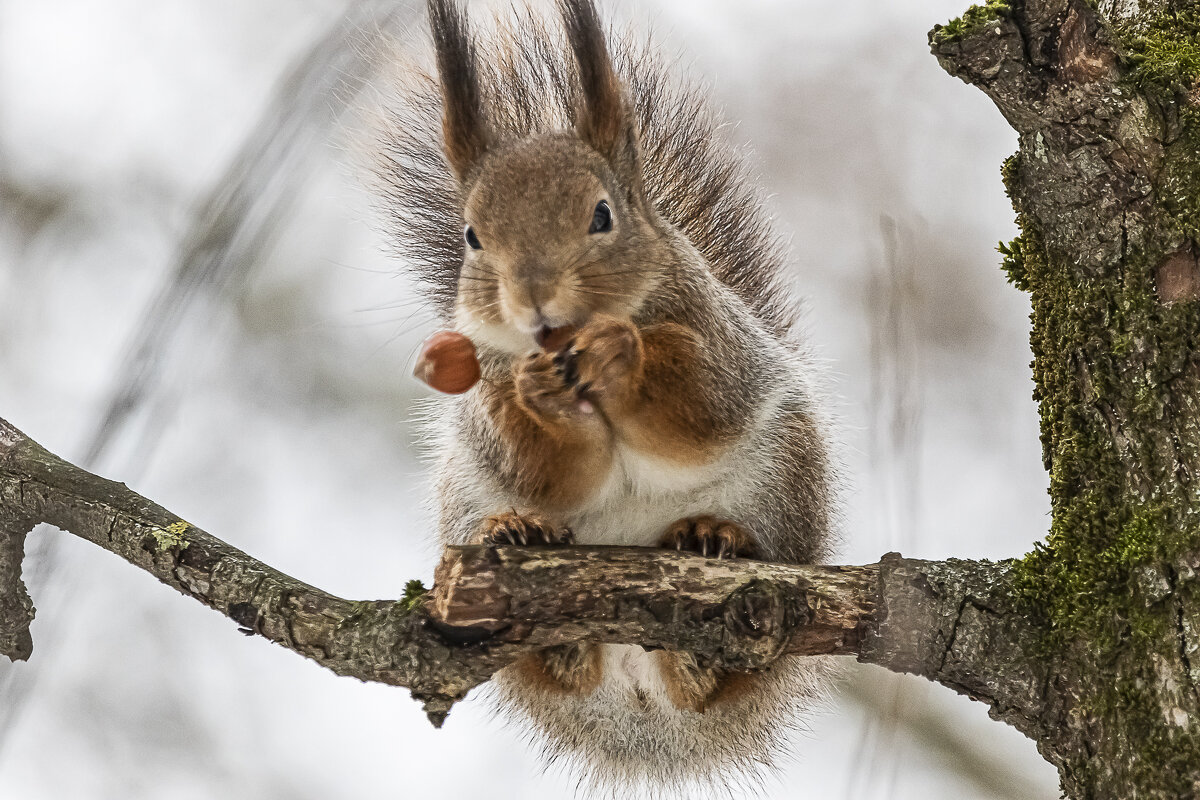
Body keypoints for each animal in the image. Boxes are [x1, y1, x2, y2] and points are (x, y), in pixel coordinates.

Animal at [372, 0, 835, 791]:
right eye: (471, 236)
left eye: (601, 215)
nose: (536, 301)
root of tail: (639, 702)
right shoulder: (488, 383)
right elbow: (548, 467)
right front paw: (541, 401)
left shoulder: (722, 347)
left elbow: (699, 411)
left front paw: (625, 353)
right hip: (466, 498)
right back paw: (522, 546)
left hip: (786, 480)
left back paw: (712, 549)